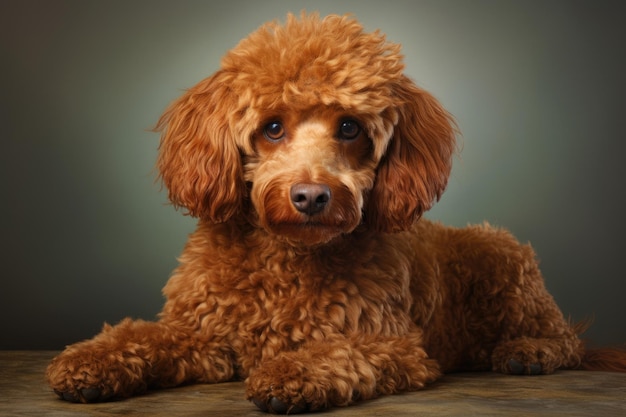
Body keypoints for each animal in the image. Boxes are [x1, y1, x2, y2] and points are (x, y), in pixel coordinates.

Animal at [45, 11, 624, 412]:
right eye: (272, 127)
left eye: (349, 127)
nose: (311, 196)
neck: (286, 259)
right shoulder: (206, 338)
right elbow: (142, 335)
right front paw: (91, 360)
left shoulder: (393, 345)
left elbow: (337, 353)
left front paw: (289, 375)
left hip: (507, 266)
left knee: (567, 339)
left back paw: (530, 352)